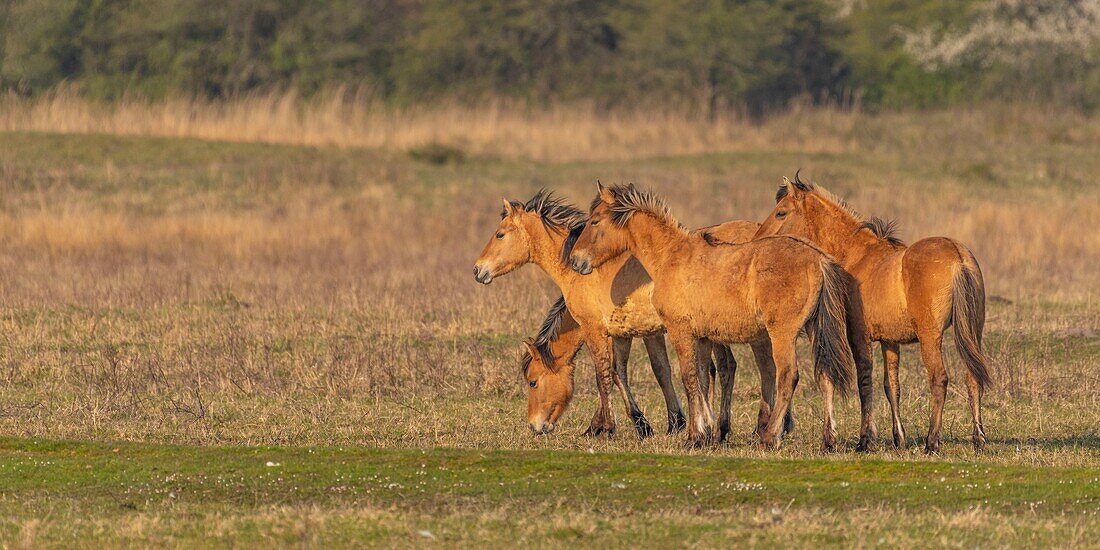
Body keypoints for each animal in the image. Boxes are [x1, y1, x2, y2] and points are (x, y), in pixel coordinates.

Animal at [477, 191, 787, 440]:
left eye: (533, 382)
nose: (478, 269)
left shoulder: (597, 330)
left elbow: (605, 375)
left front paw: (603, 428)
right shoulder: (630, 334)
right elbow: (632, 372)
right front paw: (657, 423)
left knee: (751, 369)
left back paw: (760, 428)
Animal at [567, 182, 875, 448]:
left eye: (595, 221)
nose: (575, 261)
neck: (671, 256)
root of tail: (818, 258)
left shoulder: (681, 332)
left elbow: (689, 377)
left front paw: (694, 435)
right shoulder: (703, 338)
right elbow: (703, 379)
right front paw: (707, 431)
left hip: (782, 334)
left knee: (787, 376)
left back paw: (770, 436)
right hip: (814, 331)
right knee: (824, 376)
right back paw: (828, 439)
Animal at [756, 173, 990, 453]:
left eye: (781, 212)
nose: (758, 238)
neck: (859, 256)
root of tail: (958, 256)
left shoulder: (859, 337)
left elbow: (864, 382)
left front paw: (865, 439)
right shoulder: (890, 341)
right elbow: (892, 386)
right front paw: (898, 438)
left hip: (930, 337)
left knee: (939, 379)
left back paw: (932, 440)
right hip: (972, 333)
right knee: (973, 377)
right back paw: (978, 439)